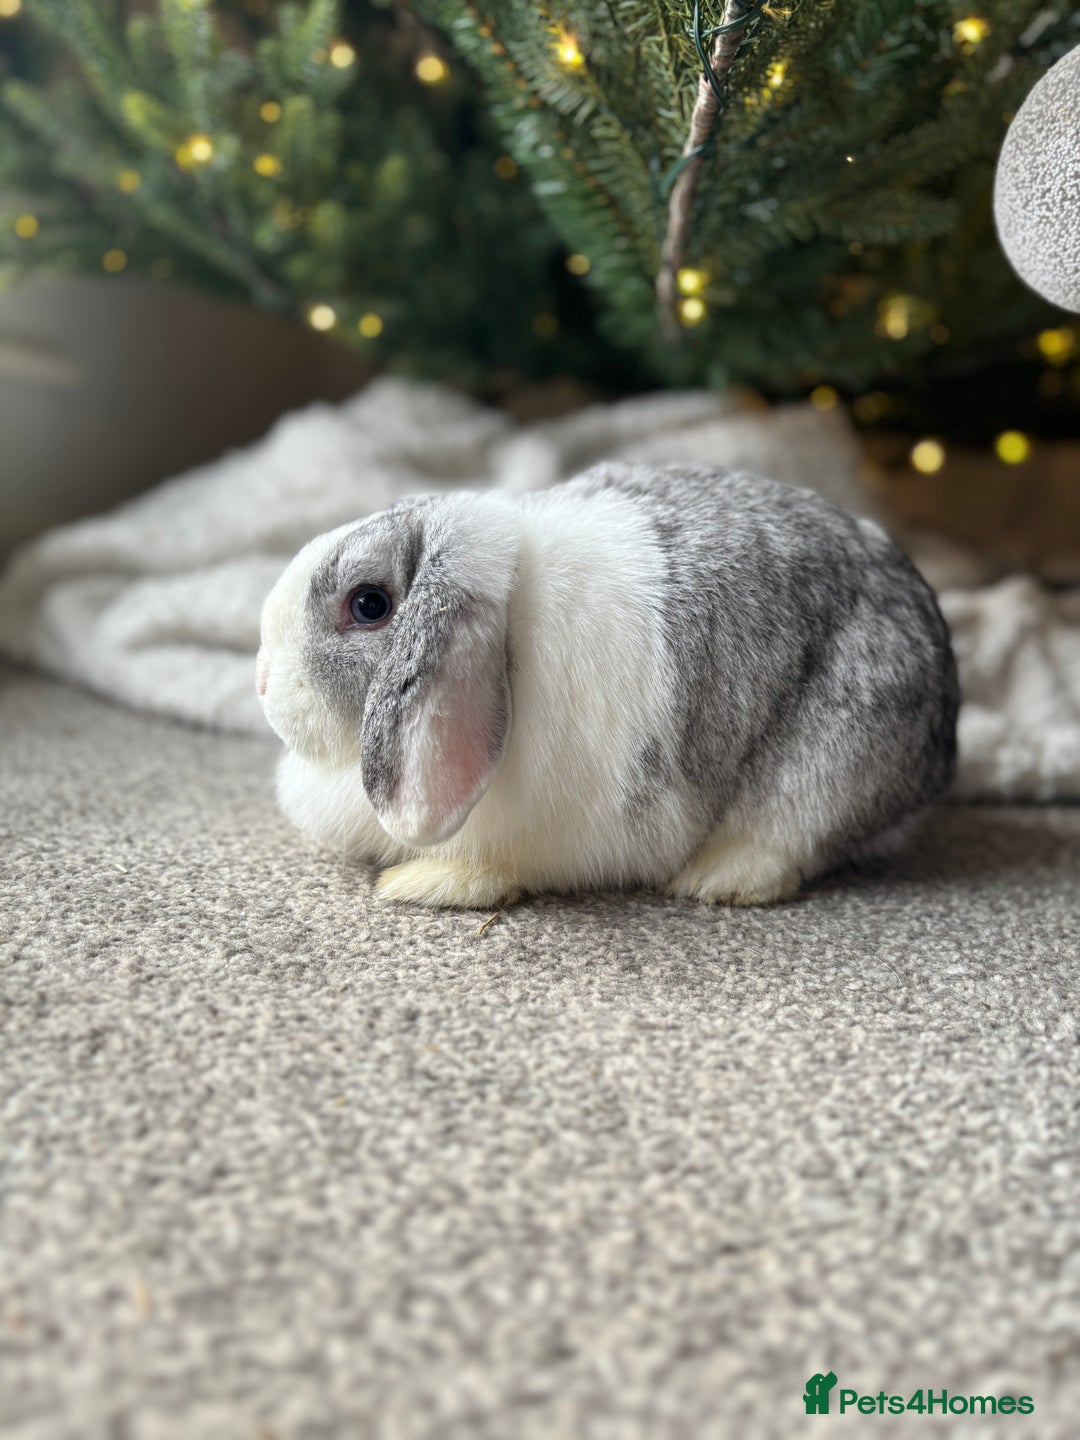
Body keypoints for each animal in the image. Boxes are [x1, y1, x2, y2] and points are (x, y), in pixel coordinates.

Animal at [256, 461, 958, 909]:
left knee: (789, 841)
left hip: (829, 762)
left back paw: (715, 880)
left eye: (369, 604)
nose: (261, 681)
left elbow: (490, 869)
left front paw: (420, 884)